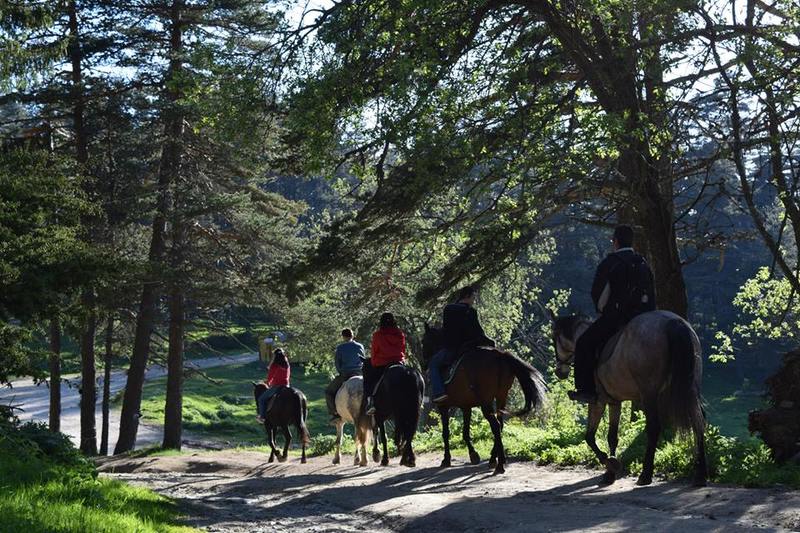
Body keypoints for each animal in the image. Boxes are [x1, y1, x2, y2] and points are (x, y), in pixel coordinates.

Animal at [422, 324, 548, 474]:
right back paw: (495, 459)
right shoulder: (466, 407)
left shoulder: (443, 407)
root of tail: (500, 355)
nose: (423, 365)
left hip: (486, 402)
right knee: (500, 424)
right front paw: (473, 455)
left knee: (495, 425)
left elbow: (446, 433)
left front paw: (446, 459)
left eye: (423, 342)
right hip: (501, 397)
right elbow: (465, 433)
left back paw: (499, 465)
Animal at [552, 308, 708, 486]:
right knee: (698, 421)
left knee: (654, 428)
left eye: (554, 338)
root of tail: (674, 322)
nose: (559, 372)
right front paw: (610, 472)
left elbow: (589, 437)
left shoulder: (598, 401)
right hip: (688, 389)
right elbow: (612, 437)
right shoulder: (614, 402)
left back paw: (645, 475)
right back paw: (700, 475)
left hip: (649, 395)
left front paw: (609, 462)